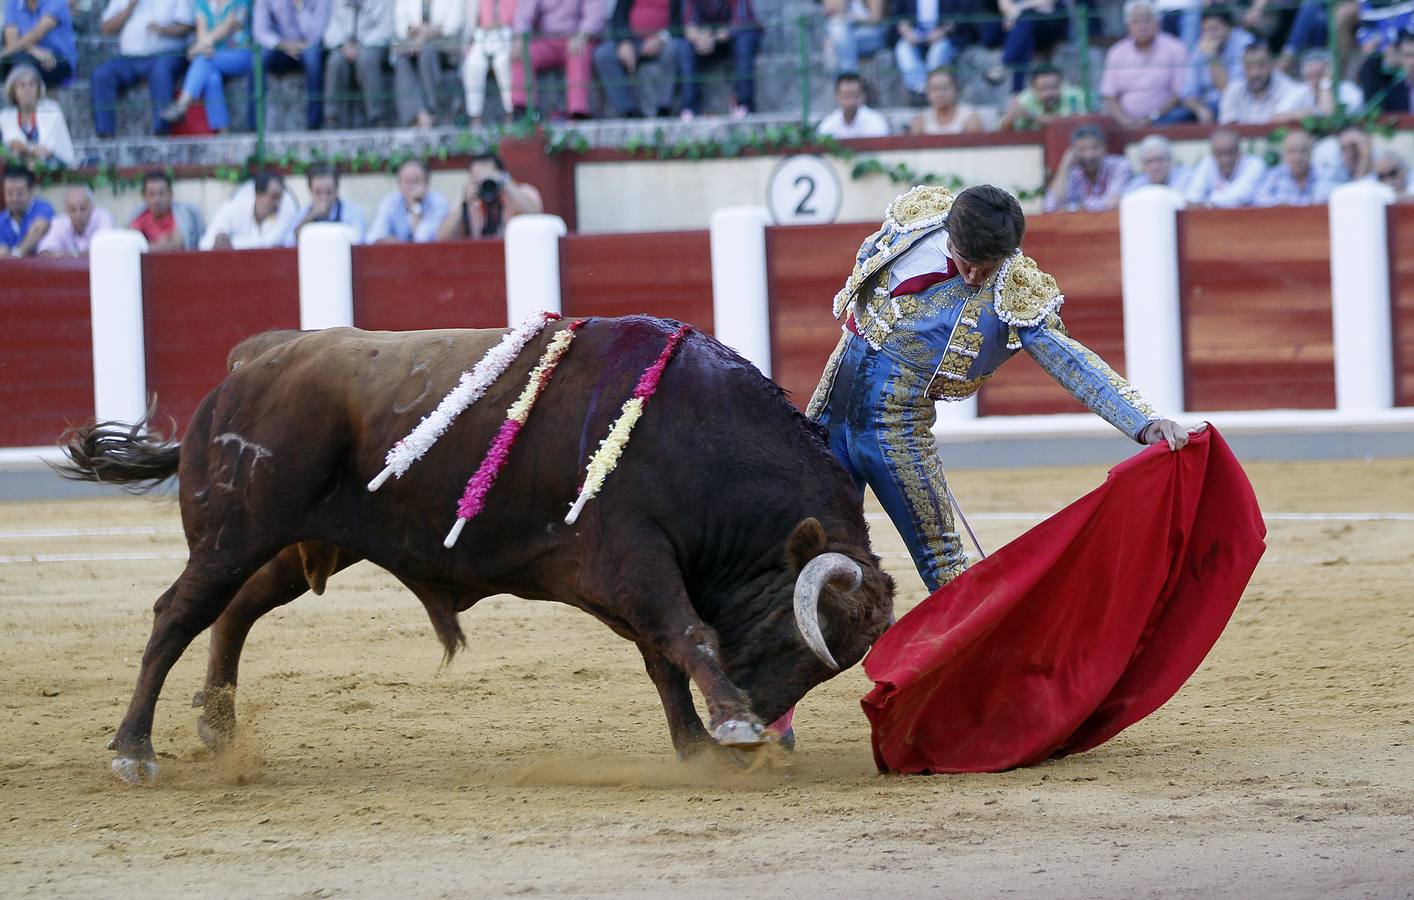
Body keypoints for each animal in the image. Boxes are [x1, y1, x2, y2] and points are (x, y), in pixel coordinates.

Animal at [60, 314, 893, 781]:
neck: (699, 436)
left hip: (299, 544)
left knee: (233, 611)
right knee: (177, 614)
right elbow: (687, 635)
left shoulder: (632, 581)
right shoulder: (637, 560)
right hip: (234, 532)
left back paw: (219, 725)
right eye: (795, 639)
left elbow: (665, 659)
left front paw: (696, 747)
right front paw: (726, 727)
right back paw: (133, 751)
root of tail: (251, 362)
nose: (759, 737)